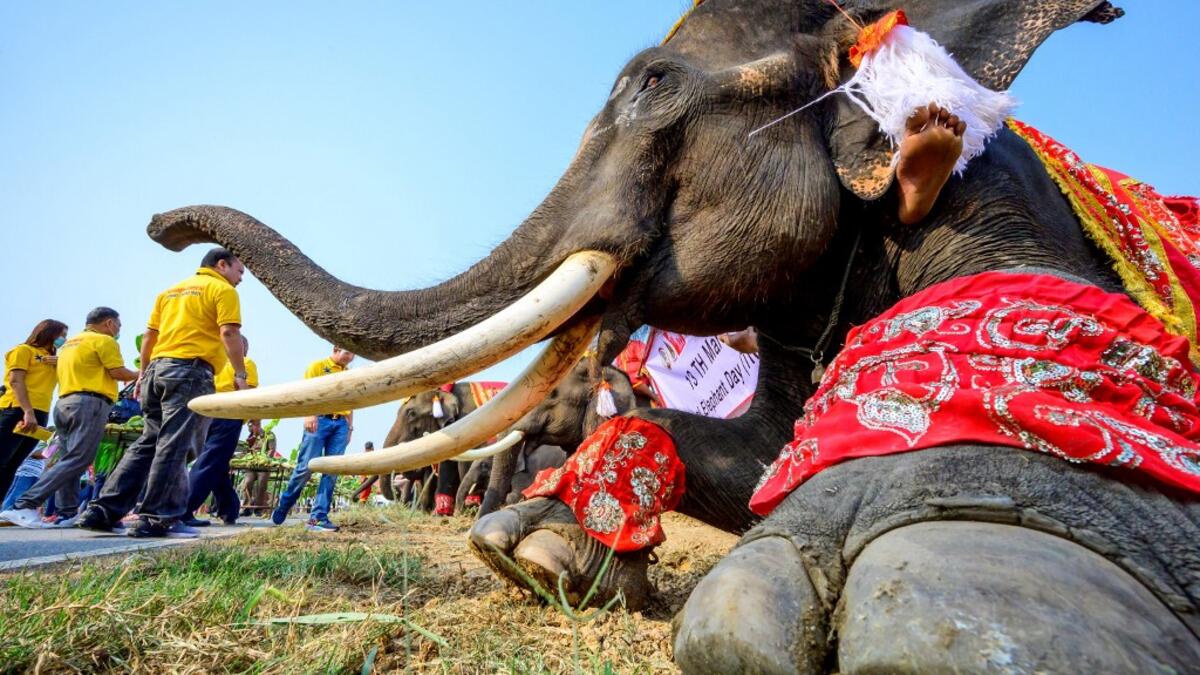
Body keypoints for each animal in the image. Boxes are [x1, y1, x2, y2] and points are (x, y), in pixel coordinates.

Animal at [145, 0, 1200, 671]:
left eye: (653, 82)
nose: (166, 229)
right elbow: (759, 456)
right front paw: (528, 550)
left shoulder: (998, 198)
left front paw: (961, 564)